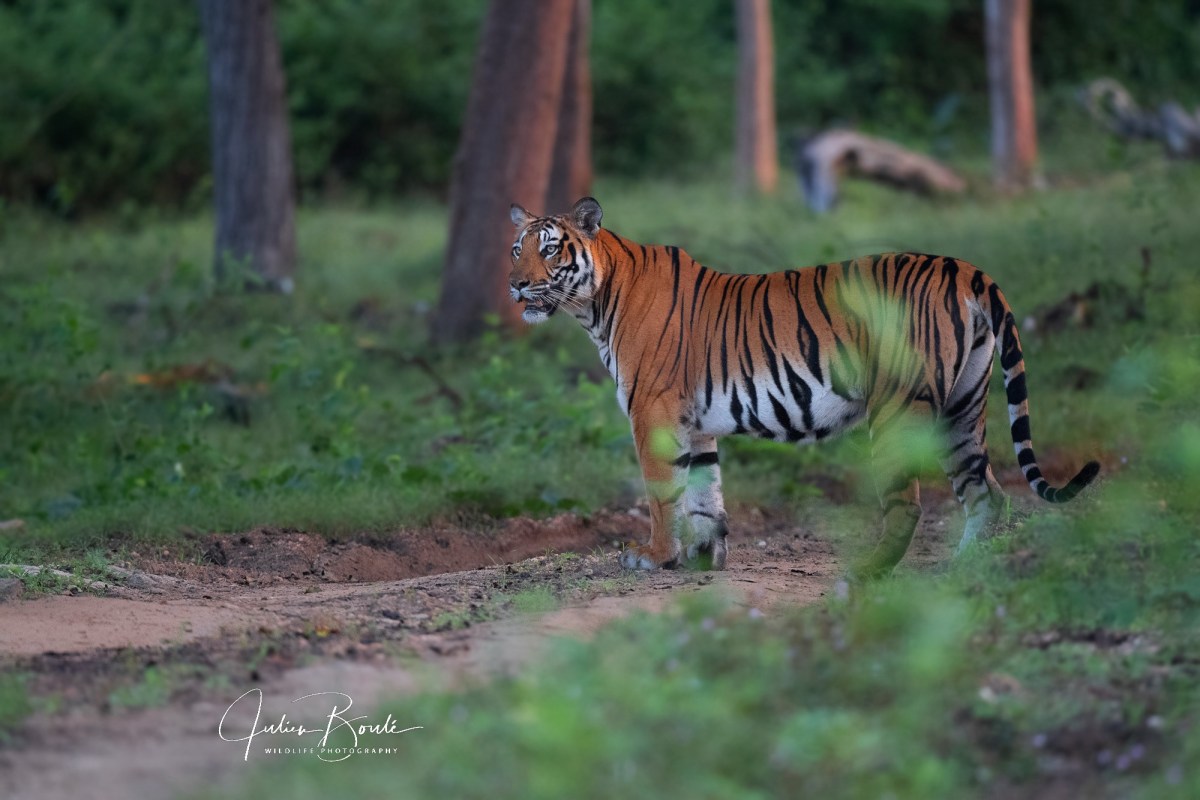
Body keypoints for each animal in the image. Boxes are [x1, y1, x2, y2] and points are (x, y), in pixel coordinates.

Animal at [508, 197, 1100, 579]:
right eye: (518, 249)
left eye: (551, 249)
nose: (515, 284)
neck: (595, 305)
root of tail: (963, 267)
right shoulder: (692, 423)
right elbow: (702, 492)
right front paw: (699, 559)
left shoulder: (651, 412)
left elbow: (661, 493)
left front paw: (654, 557)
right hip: (962, 409)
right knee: (987, 494)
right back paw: (962, 571)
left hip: (897, 409)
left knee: (908, 505)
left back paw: (866, 572)